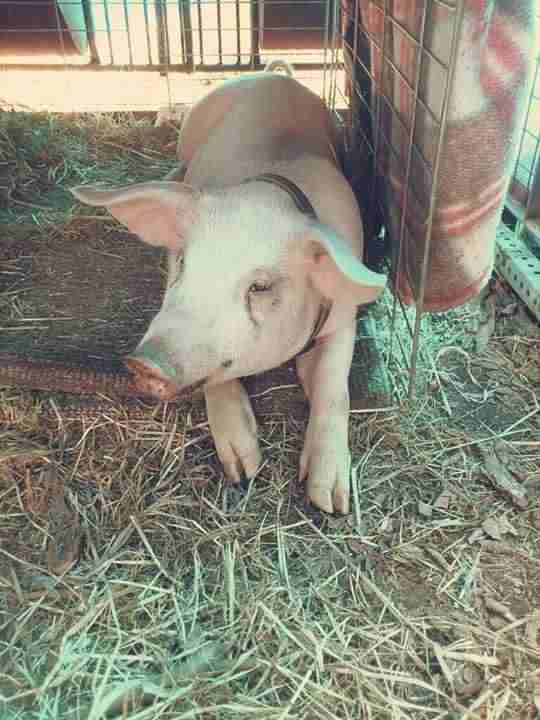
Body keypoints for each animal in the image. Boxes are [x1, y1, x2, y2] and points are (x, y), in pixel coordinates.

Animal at [71, 62, 386, 512]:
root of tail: (269, 75)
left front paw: (330, 502)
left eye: (260, 286)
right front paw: (243, 470)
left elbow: (333, 388)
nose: (144, 363)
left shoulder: (344, 319)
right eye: (184, 263)